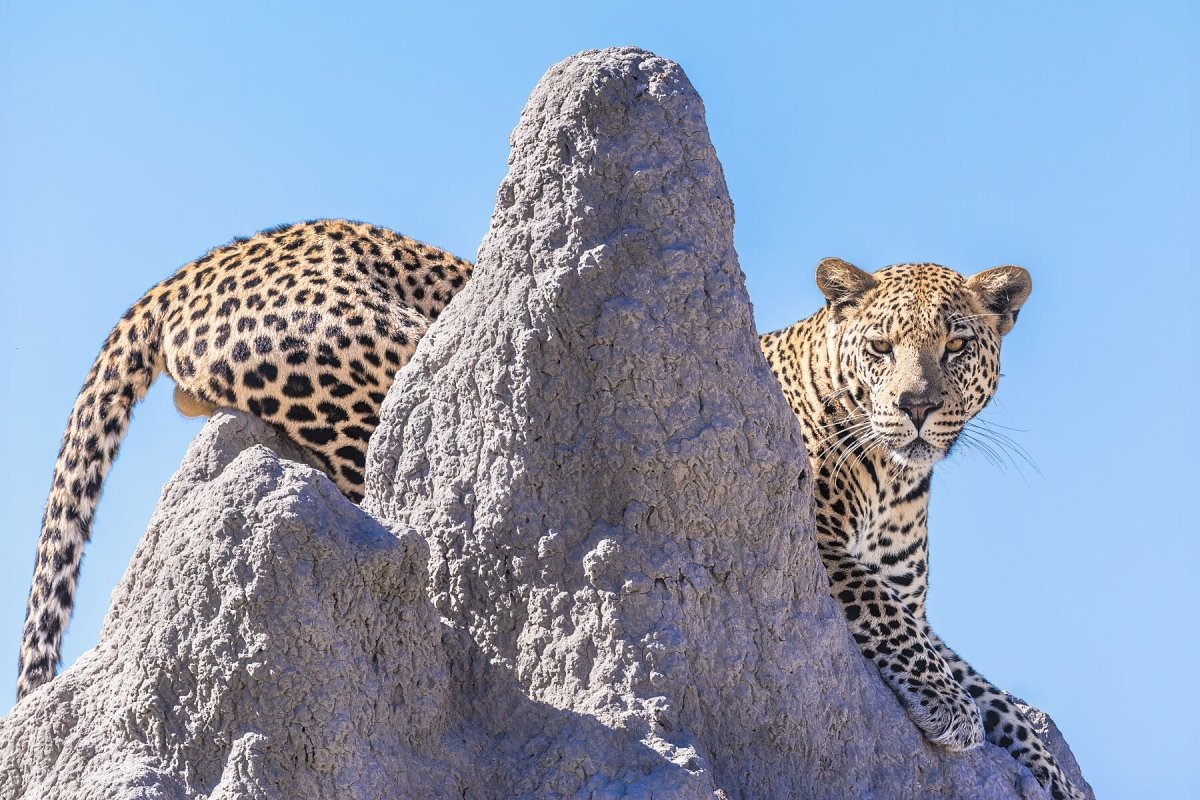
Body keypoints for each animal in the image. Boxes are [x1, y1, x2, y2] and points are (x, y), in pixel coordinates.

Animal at [763, 257, 1084, 800]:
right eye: (880, 347)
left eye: (955, 346)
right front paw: (950, 704)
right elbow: (882, 608)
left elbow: (997, 697)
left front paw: (1058, 779)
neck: (891, 481)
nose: (915, 405)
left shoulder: (916, 605)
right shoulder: (812, 546)